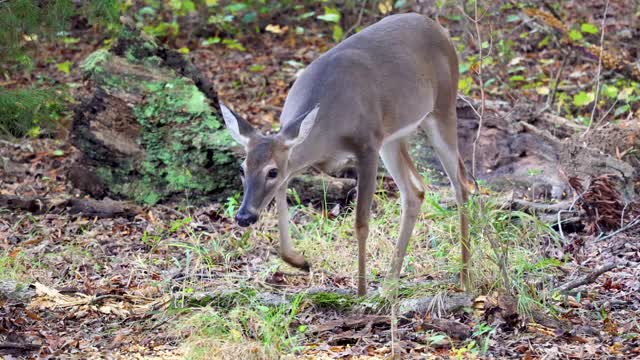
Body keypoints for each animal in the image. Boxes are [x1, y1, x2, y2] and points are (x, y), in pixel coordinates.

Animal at [220, 13, 470, 296]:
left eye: (271, 171)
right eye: (242, 168)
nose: (244, 216)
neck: (329, 130)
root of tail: (440, 28)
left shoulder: (367, 145)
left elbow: (361, 223)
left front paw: (360, 292)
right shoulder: (300, 160)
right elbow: (283, 199)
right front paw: (300, 261)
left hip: (442, 108)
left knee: (460, 184)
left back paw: (464, 278)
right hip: (392, 138)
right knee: (415, 191)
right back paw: (390, 285)